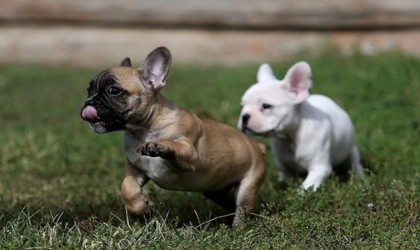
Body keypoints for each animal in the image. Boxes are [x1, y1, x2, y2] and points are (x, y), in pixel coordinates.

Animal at [80, 46, 264, 225]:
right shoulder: (136, 168)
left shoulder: (190, 155)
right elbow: (127, 187)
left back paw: (237, 227)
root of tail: (258, 146)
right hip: (215, 190)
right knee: (229, 203)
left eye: (114, 90)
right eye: (89, 90)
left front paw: (159, 145)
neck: (144, 129)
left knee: (242, 210)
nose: (89, 102)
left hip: (247, 187)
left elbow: (175, 145)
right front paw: (142, 210)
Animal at [238, 61, 362, 190]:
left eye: (266, 106)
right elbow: (287, 176)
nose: (244, 116)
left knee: (355, 163)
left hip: (351, 151)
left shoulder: (319, 168)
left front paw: (300, 193)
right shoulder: (284, 165)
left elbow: (307, 186)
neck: (291, 136)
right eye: (242, 106)